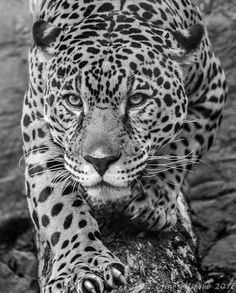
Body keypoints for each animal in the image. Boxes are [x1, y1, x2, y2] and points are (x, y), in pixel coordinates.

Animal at [21, 0, 227, 290]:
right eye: (73, 101)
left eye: (137, 100)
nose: (100, 161)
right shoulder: (38, 134)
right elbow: (59, 205)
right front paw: (82, 266)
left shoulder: (213, 91)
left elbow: (182, 149)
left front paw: (152, 203)